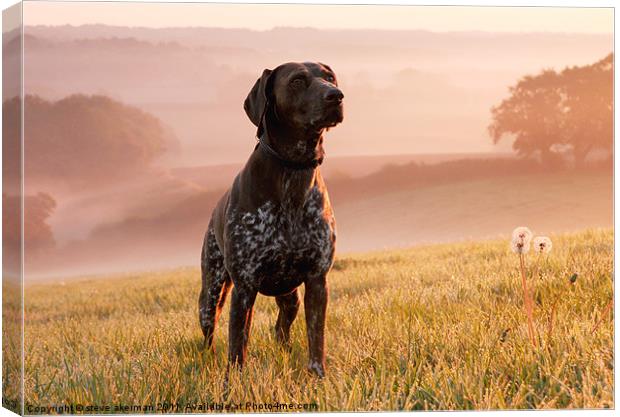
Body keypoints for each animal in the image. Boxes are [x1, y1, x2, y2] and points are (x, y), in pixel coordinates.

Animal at [199, 61, 344, 376]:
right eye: (297, 80)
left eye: (330, 77)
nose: (336, 96)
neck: (292, 172)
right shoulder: (244, 286)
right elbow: (236, 348)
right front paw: (233, 382)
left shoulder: (317, 281)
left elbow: (316, 342)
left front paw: (318, 377)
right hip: (212, 294)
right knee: (212, 334)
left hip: (290, 297)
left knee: (280, 329)